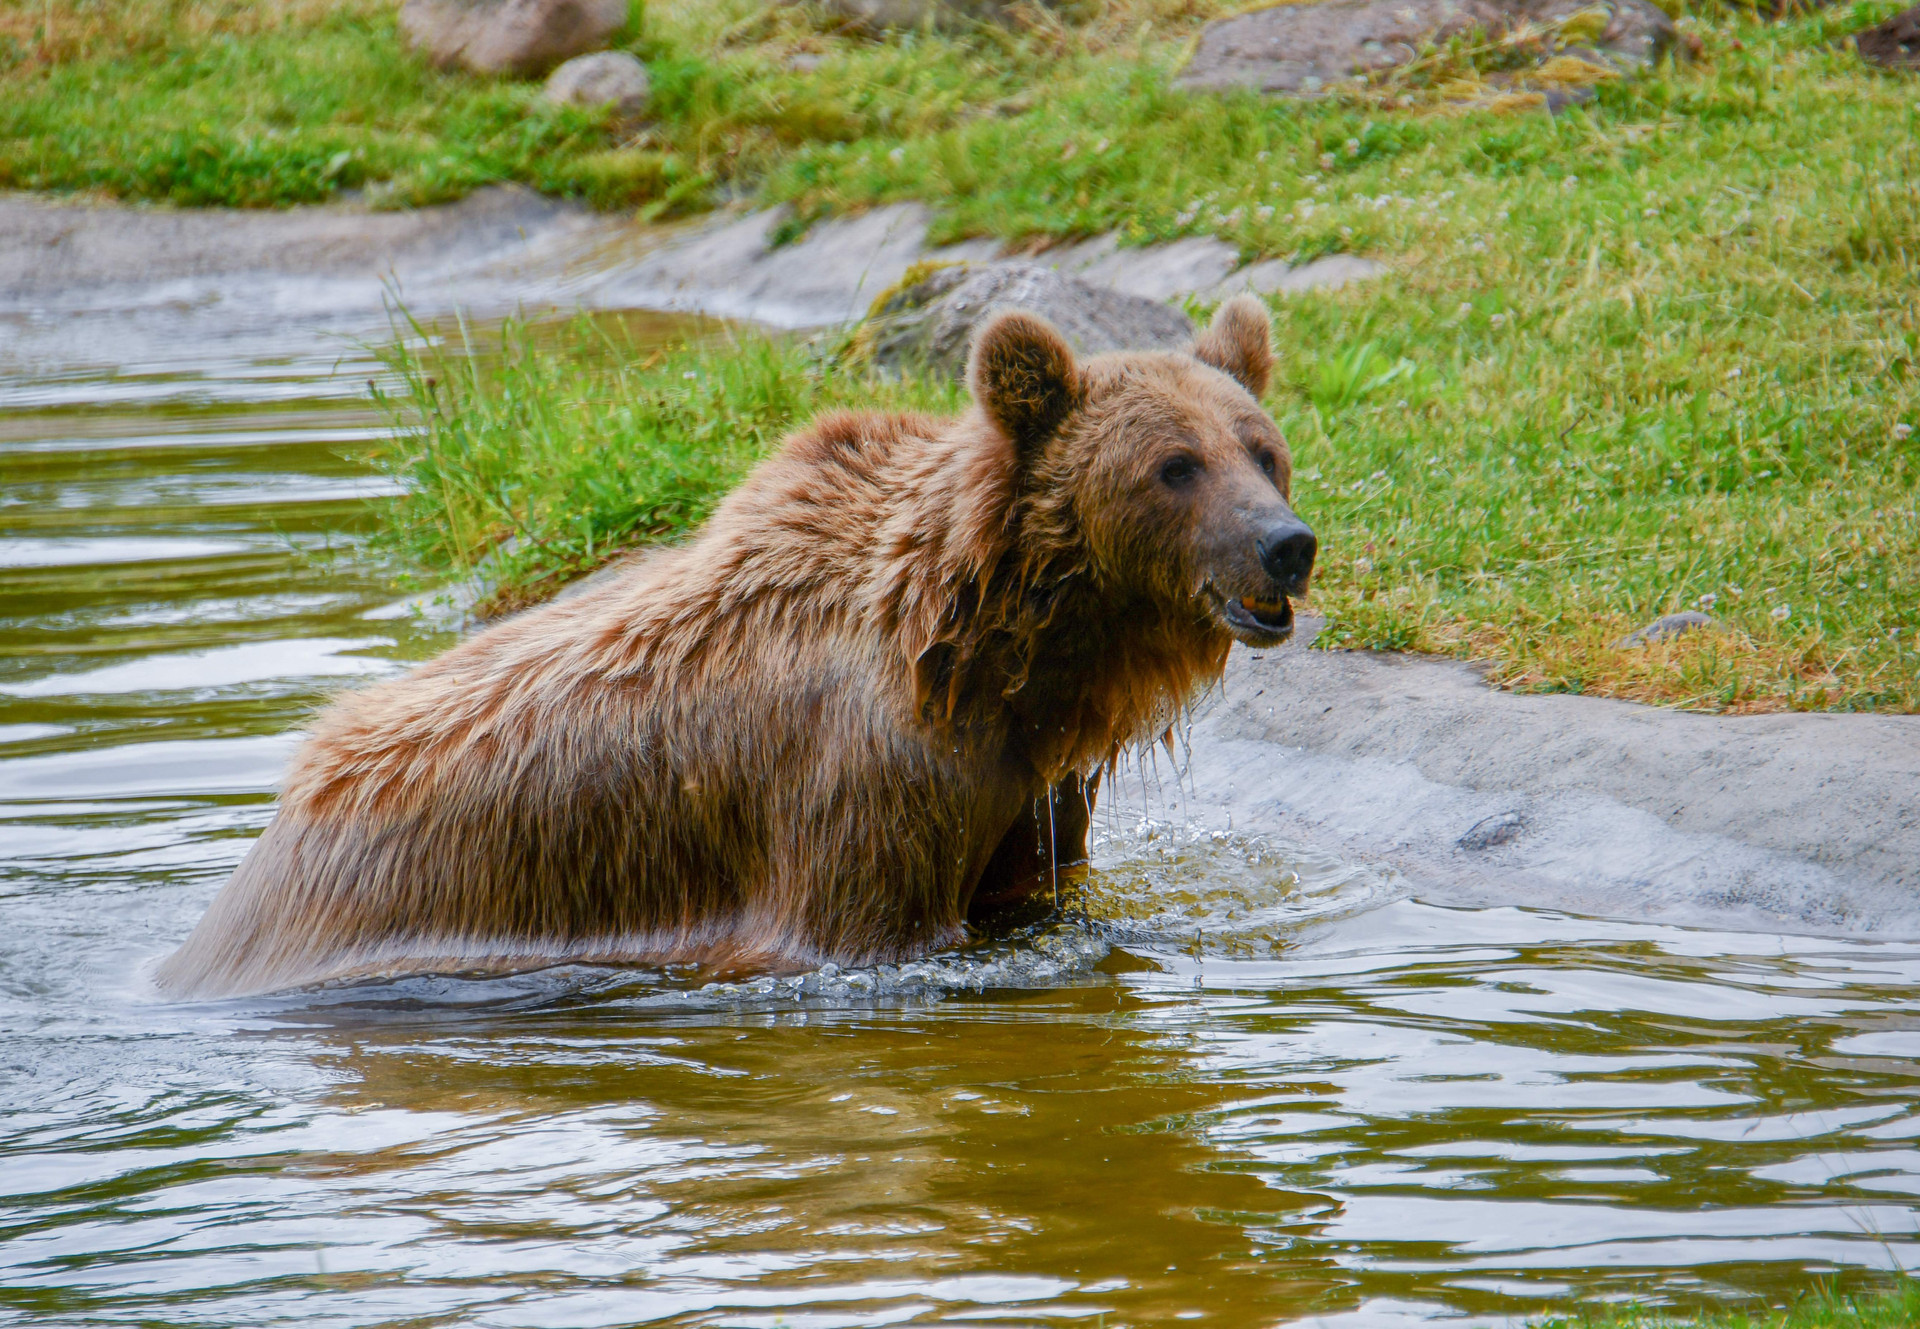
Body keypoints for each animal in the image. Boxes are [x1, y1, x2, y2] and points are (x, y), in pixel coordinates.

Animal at [155, 296, 1317, 999]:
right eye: (1174, 466)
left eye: (1262, 449)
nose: (1287, 546)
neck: (988, 655)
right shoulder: (858, 787)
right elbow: (870, 927)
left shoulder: (1027, 784)